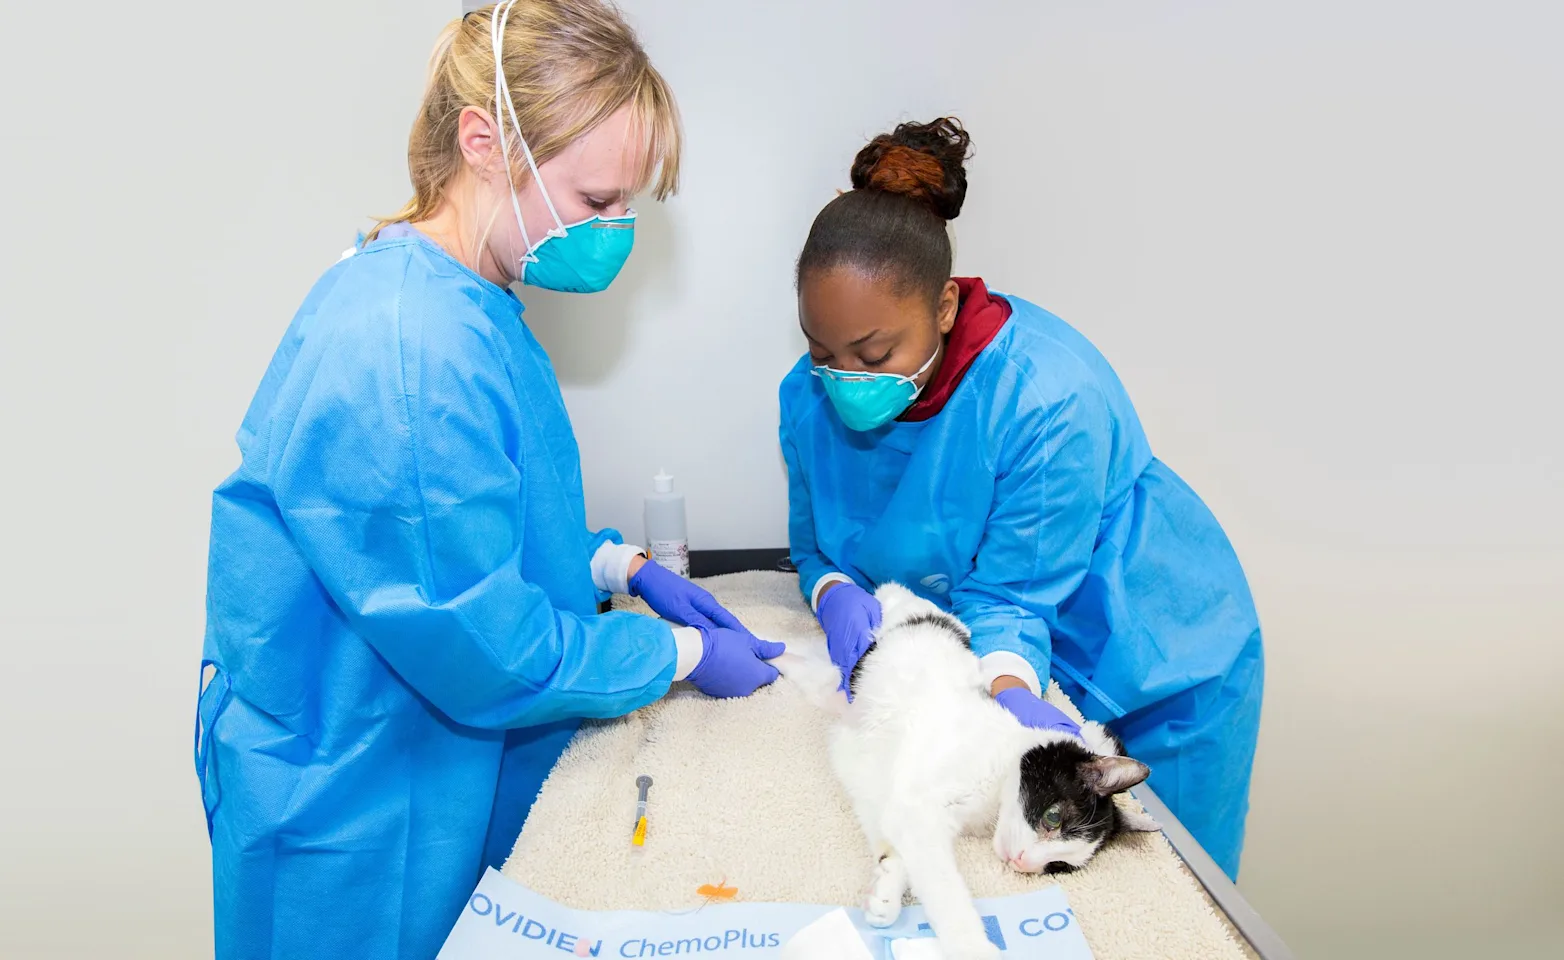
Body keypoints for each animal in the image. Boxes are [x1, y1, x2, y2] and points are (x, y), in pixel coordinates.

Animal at [778, 587, 1163, 960]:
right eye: (1053, 818)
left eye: (1057, 867)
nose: (1024, 862)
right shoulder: (919, 802)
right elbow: (944, 887)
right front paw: (972, 946)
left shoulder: (899, 803)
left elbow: (901, 846)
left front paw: (886, 890)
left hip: (824, 686)